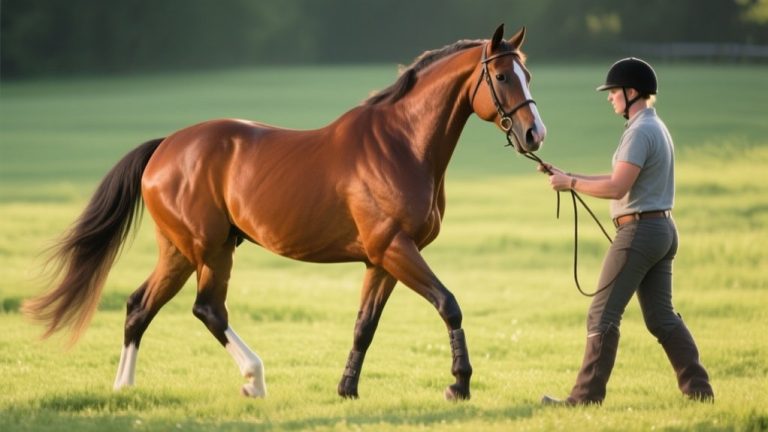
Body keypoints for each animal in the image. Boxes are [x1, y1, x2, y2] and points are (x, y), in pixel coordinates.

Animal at [23, 24, 546, 401]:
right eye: (502, 76)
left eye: (528, 76)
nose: (535, 134)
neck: (400, 146)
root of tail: (165, 147)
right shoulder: (395, 249)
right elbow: (448, 304)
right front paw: (459, 384)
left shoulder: (381, 260)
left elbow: (365, 325)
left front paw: (347, 390)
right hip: (209, 250)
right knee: (207, 309)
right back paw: (254, 379)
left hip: (179, 250)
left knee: (138, 307)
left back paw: (124, 387)